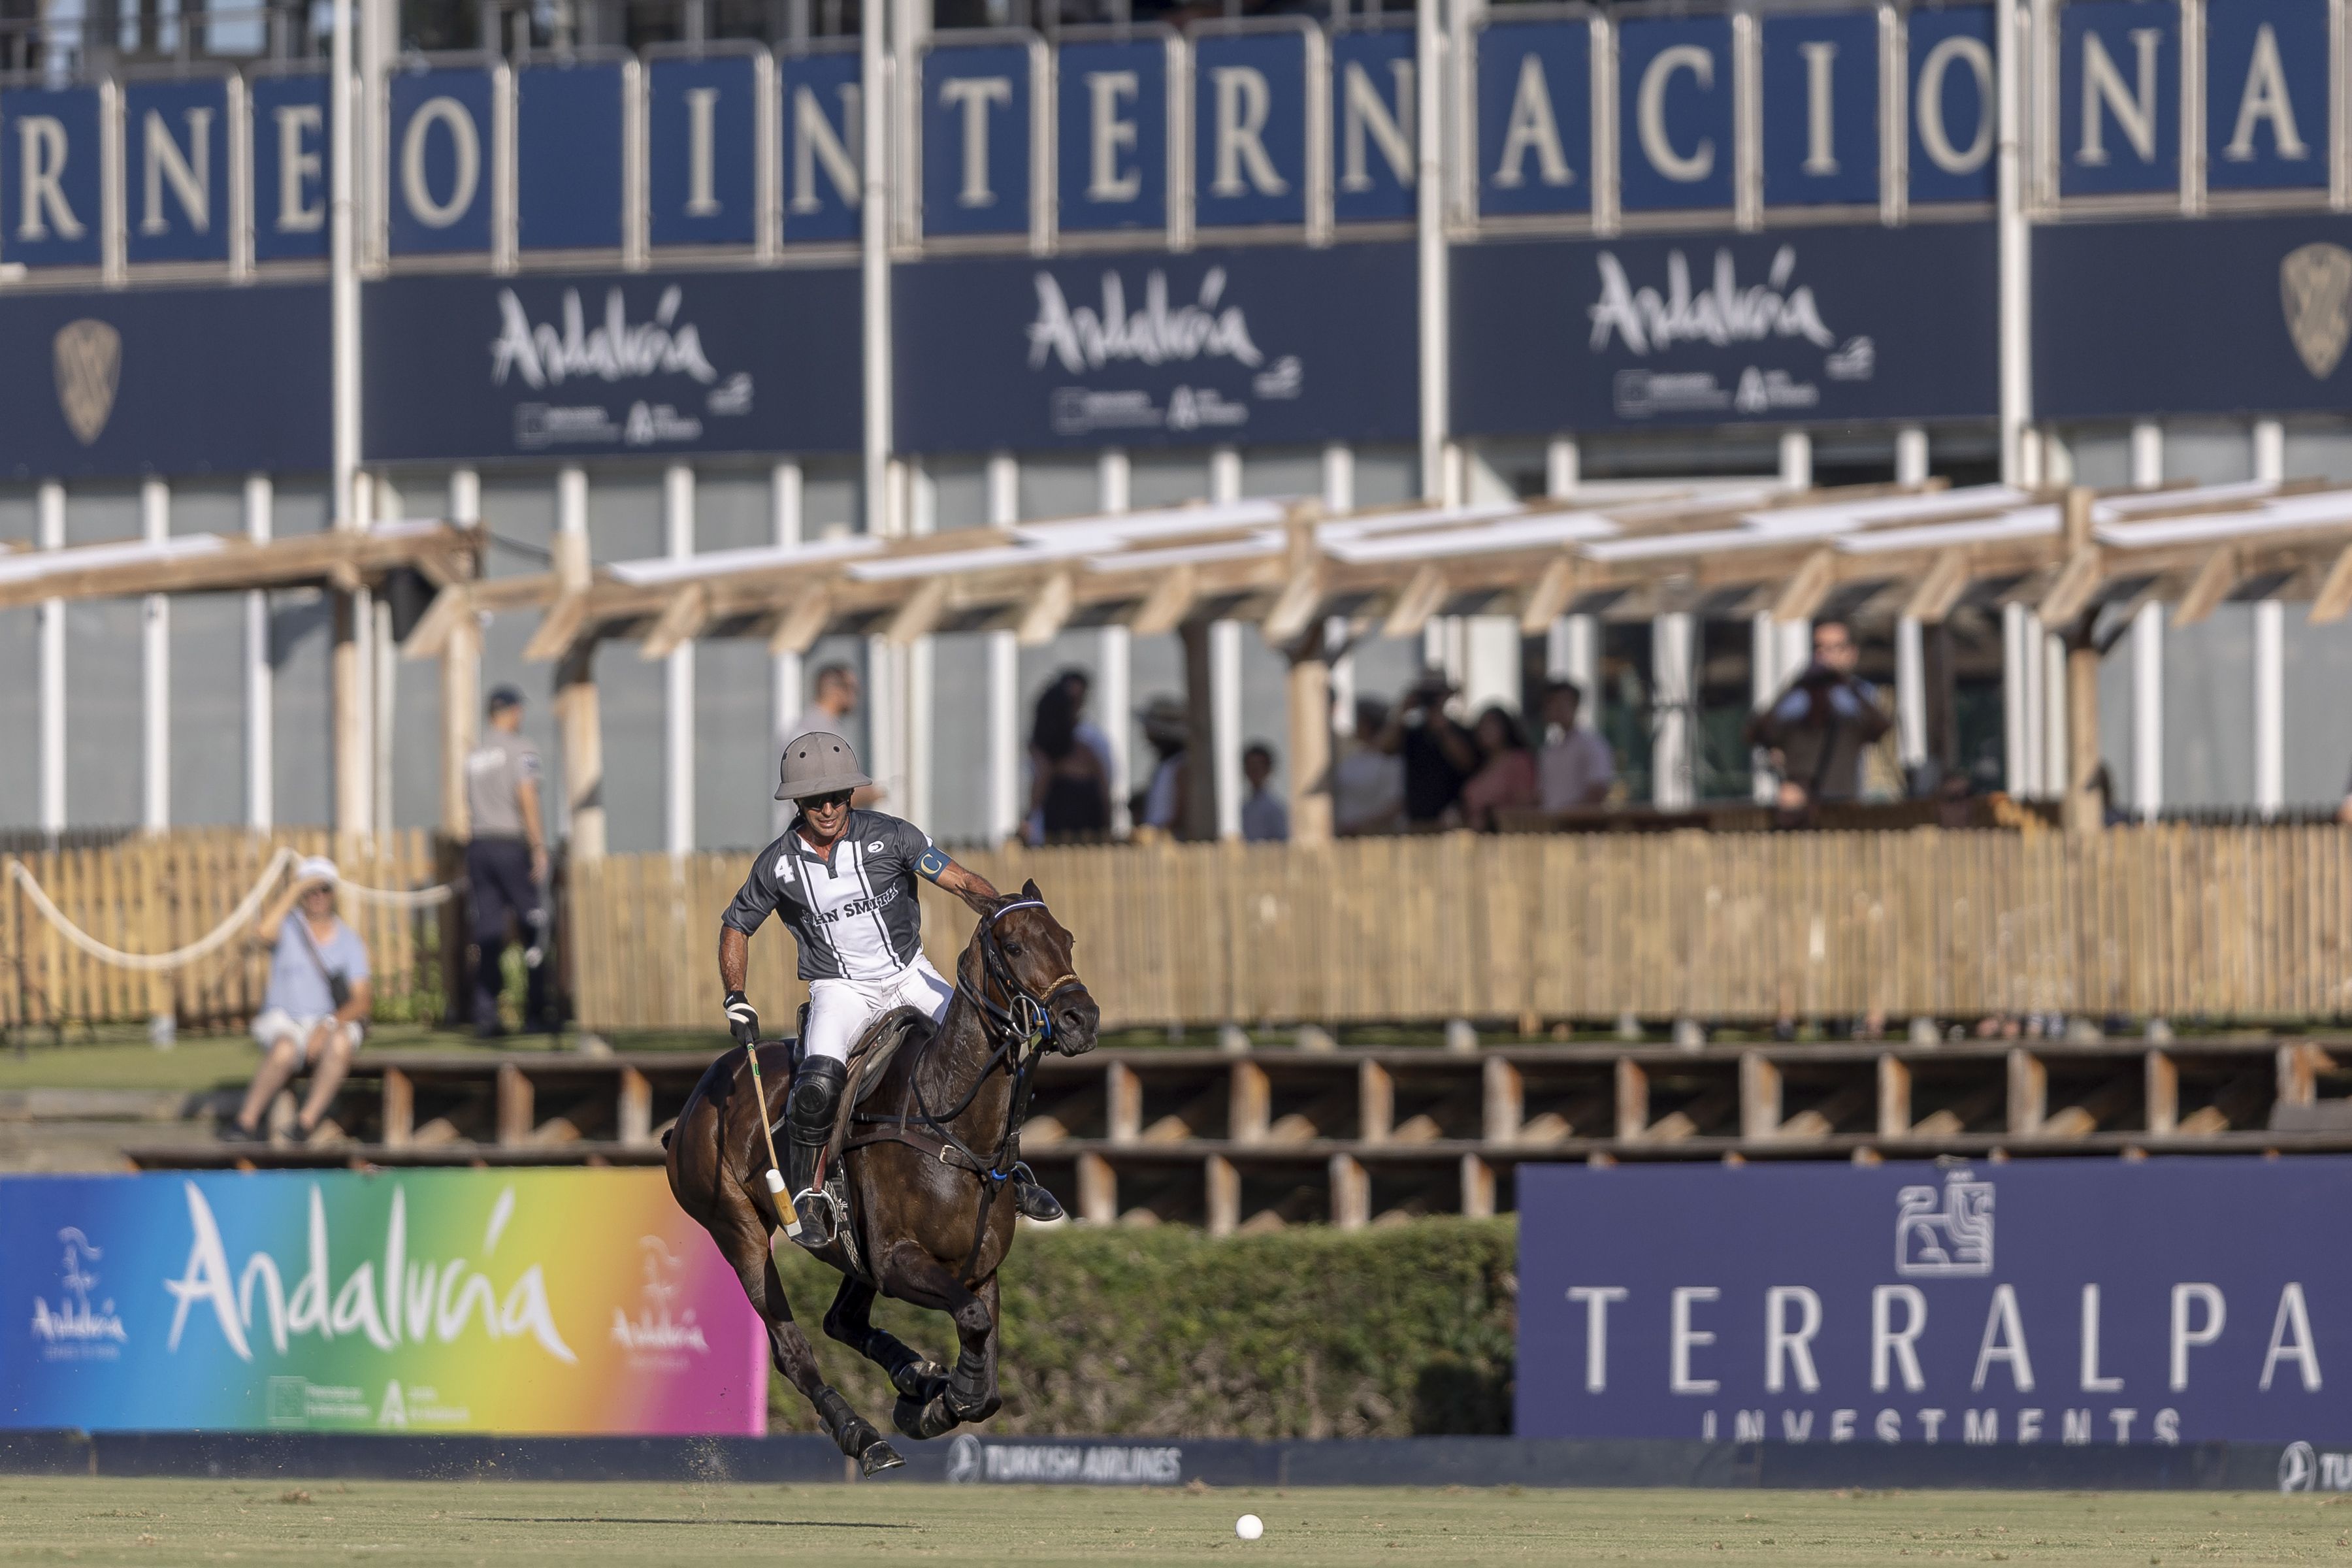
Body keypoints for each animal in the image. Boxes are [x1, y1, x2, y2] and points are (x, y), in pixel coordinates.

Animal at [663, 889, 1100, 1476]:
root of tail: (692, 1106)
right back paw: (864, 1436)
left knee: (841, 1320)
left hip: (854, 1253)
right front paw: (939, 1404)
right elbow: (972, 1324)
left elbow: (986, 1377)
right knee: (792, 1349)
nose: (1082, 1018)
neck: (948, 1119)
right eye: (1013, 946)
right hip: (737, 1230)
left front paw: (936, 1399)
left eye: (1067, 939)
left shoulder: (980, 1267)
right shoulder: (897, 1260)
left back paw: (916, 1375)